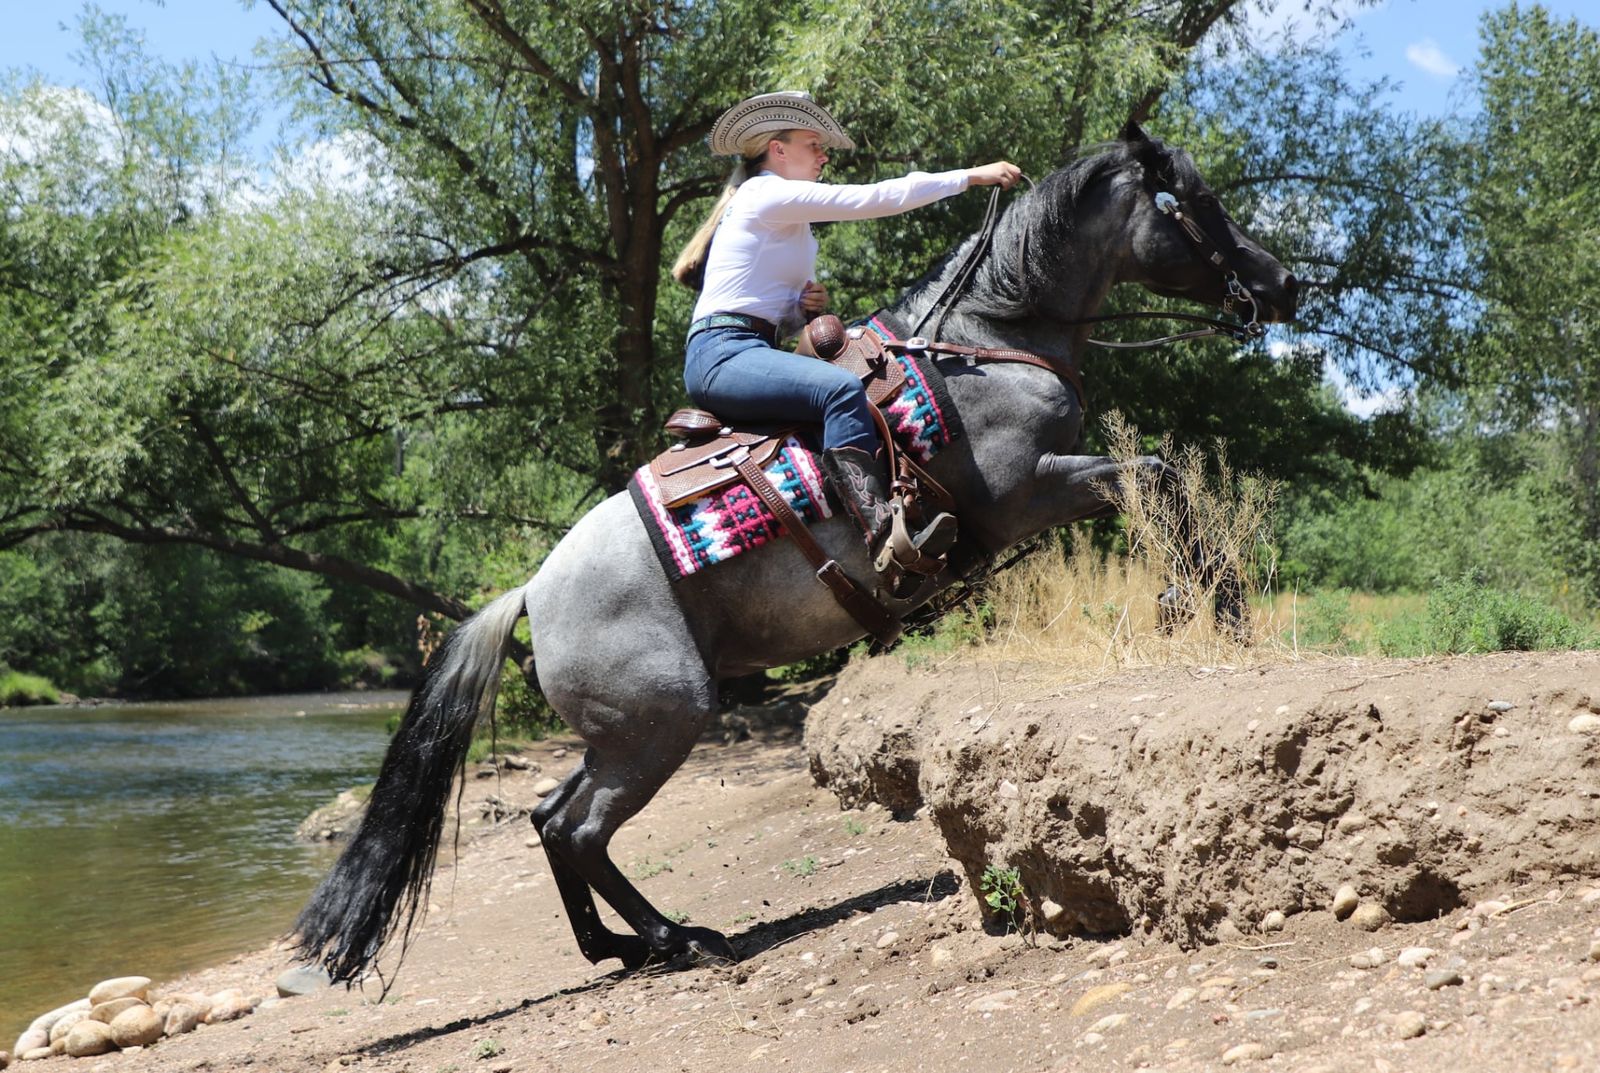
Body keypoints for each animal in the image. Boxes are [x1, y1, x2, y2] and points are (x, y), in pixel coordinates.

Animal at [292, 121, 1299, 982]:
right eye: (1194, 202)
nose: (1281, 283)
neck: (983, 343)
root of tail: (530, 591)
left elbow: (1159, 480)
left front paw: (1198, 605)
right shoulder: (1025, 491)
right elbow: (1157, 479)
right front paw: (1208, 608)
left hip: (620, 730)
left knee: (548, 819)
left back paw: (616, 946)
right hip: (661, 721)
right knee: (579, 831)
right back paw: (678, 939)